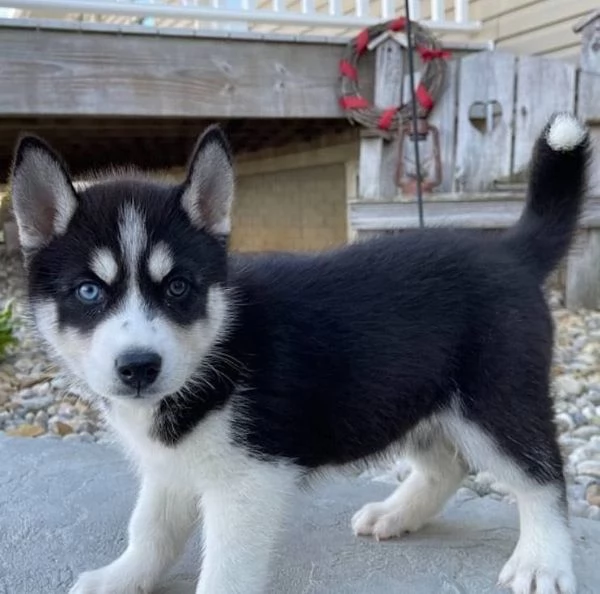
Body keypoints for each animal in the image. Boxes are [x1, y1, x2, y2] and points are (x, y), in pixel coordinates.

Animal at [9, 112, 588, 592]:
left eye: (178, 288)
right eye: (88, 291)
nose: (138, 367)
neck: (219, 345)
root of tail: (510, 251)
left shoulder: (251, 482)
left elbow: (225, 569)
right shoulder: (169, 467)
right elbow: (150, 528)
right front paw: (123, 576)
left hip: (495, 400)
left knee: (543, 477)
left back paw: (541, 560)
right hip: (407, 398)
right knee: (447, 466)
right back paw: (397, 514)